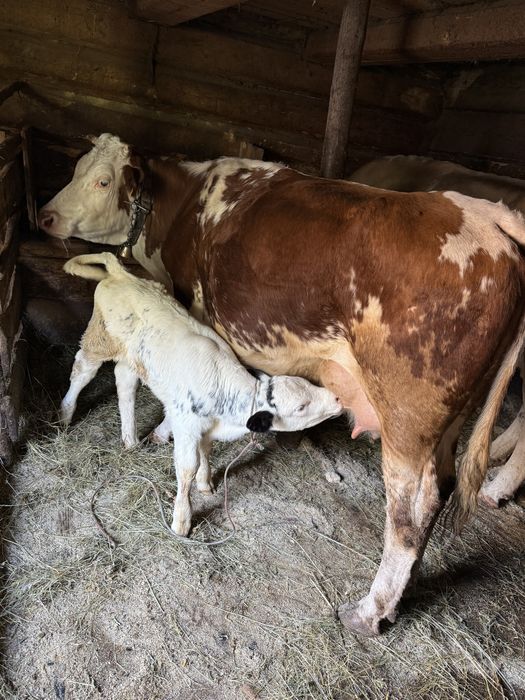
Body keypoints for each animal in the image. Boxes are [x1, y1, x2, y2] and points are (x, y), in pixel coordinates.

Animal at [60, 252, 342, 536]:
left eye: (308, 384)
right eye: (301, 407)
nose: (338, 398)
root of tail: (122, 273)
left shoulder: (206, 429)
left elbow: (206, 452)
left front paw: (205, 484)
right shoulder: (187, 425)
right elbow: (187, 468)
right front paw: (181, 521)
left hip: (134, 357)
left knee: (125, 382)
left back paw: (130, 440)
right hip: (100, 339)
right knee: (82, 370)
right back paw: (65, 414)